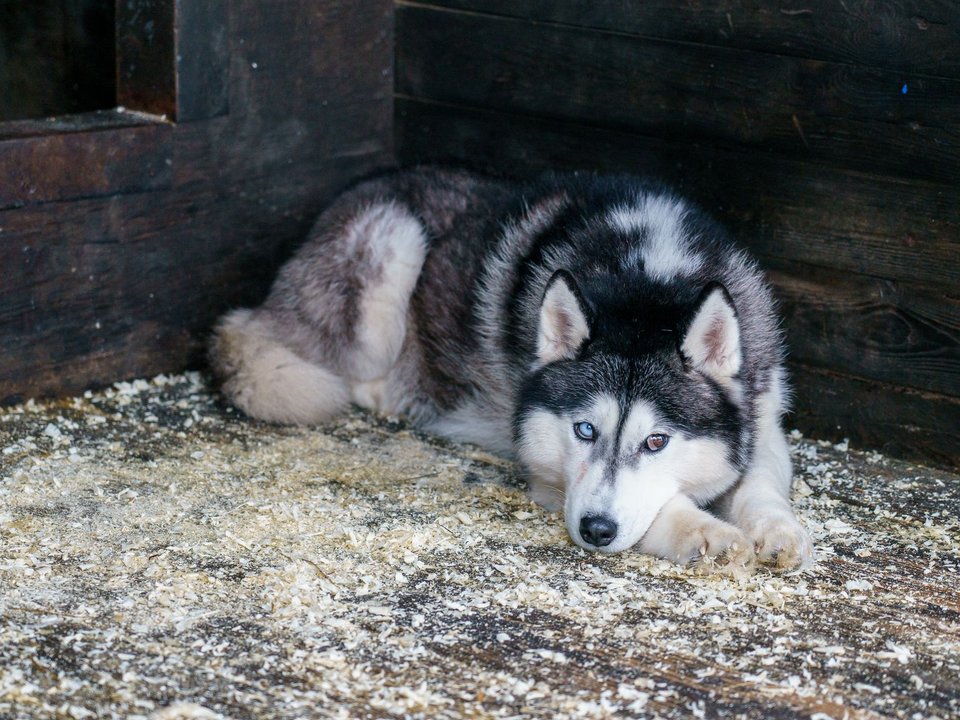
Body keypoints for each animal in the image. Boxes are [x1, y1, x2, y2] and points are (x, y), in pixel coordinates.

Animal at [210, 166, 808, 572]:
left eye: (656, 441)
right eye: (584, 430)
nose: (596, 530)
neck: (646, 284)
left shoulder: (762, 413)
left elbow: (760, 480)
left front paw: (778, 531)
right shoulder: (551, 476)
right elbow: (664, 508)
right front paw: (705, 532)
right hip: (391, 246)